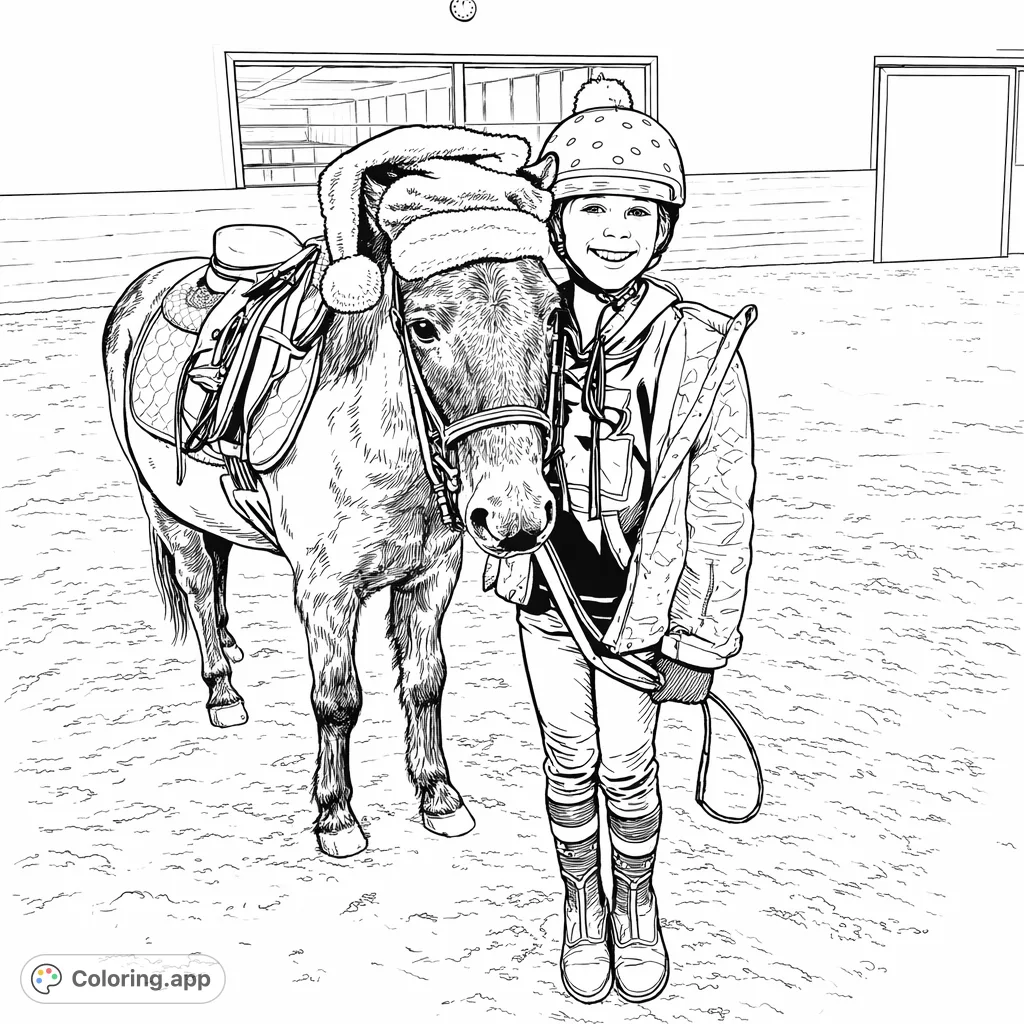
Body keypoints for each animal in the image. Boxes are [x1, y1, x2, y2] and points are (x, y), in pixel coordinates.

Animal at [102, 165, 561, 859]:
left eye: (555, 314)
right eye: (423, 327)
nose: (516, 516)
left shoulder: (431, 575)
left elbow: (425, 680)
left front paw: (438, 797)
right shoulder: (326, 591)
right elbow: (338, 700)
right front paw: (336, 816)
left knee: (219, 566)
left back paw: (232, 646)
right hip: (167, 510)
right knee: (200, 587)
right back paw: (222, 690)